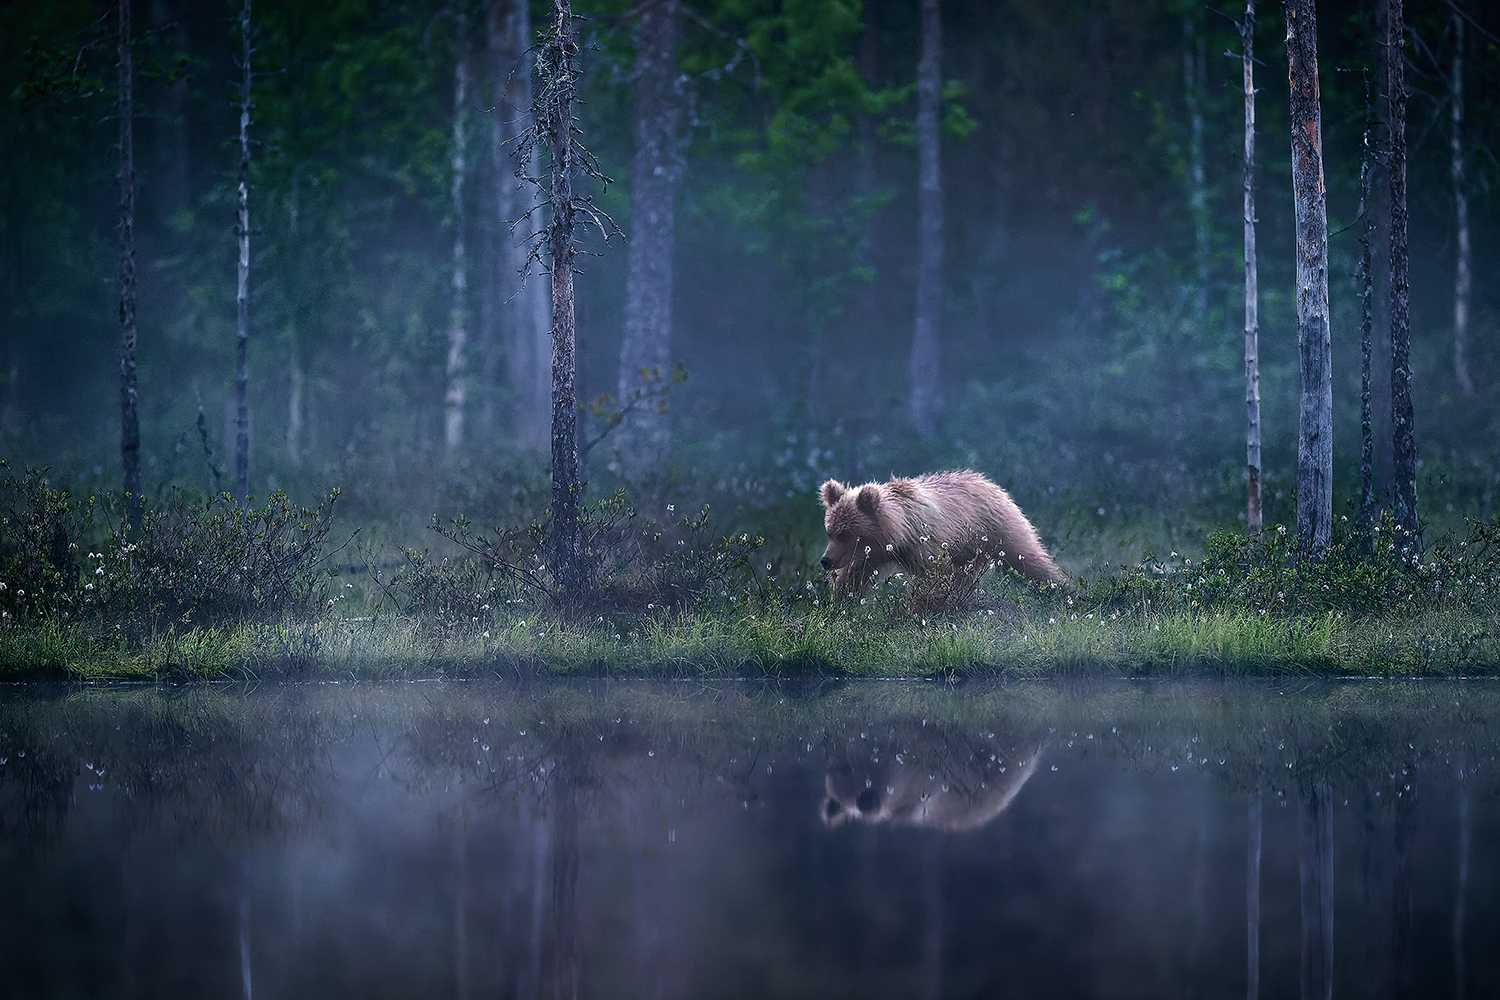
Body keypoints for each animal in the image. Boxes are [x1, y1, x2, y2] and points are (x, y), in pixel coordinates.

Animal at [822, 470, 1068, 602]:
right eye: (830, 531)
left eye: (845, 534)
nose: (826, 560)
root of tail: (992, 484)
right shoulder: (871, 553)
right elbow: (852, 576)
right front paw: (839, 603)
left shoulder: (925, 544)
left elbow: (936, 578)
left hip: (999, 528)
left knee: (1027, 558)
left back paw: (1060, 589)